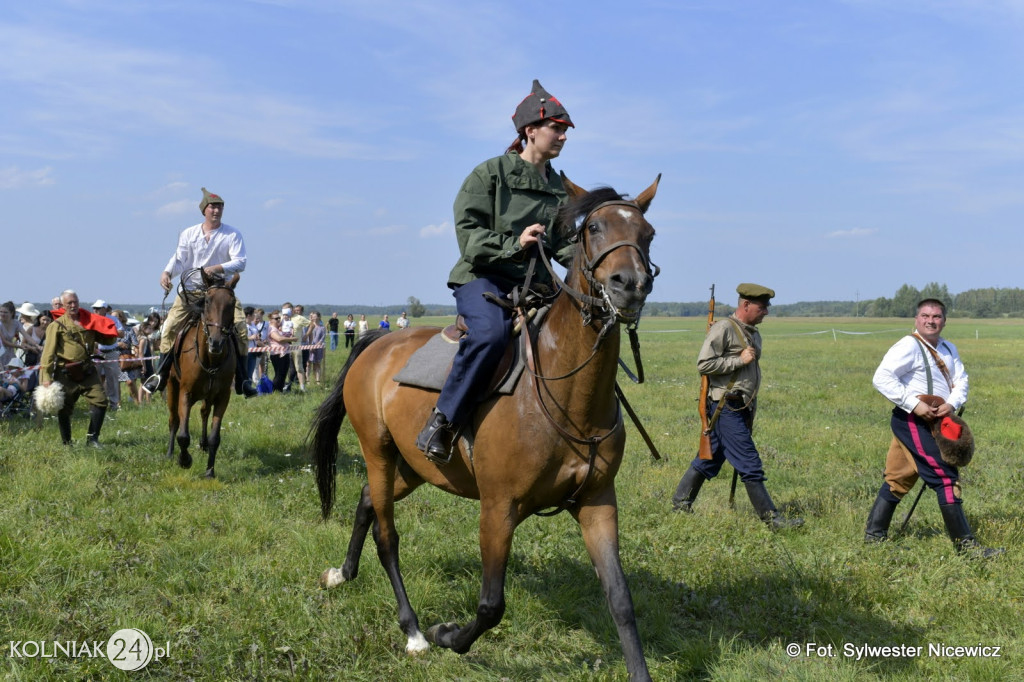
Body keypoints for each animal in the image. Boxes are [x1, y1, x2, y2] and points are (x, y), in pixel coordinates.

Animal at [166, 268, 240, 475]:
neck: (210, 358)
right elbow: (183, 434)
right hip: (172, 386)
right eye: (207, 301)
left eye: (232, 303)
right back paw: (170, 453)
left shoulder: (222, 396)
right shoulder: (185, 393)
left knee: (204, 412)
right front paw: (184, 460)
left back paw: (203, 444)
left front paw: (209, 472)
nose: (216, 342)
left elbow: (215, 437)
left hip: (208, 395)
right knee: (174, 420)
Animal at [311, 173, 659, 675]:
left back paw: (343, 573)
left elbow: (620, 599)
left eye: (647, 234)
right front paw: (445, 634)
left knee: (364, 503)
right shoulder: (498, 508)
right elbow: (491, 605)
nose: (629, 284)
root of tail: (376, 343)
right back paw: (413, 630)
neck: (566, 396)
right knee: (386, 534)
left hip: (412, 467)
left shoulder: (597, 503)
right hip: (377, 452)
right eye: (593, 228)